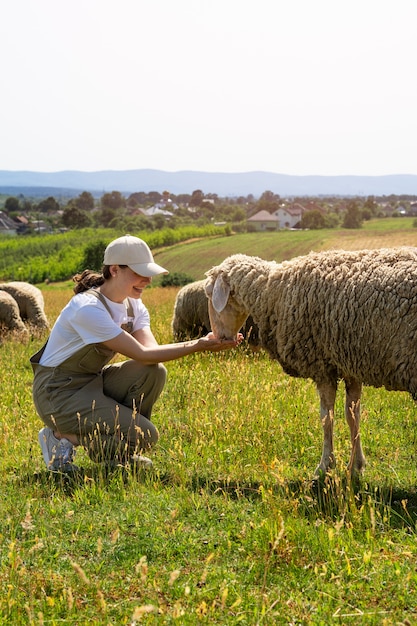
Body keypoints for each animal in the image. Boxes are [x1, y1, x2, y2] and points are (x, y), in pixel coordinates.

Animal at [204, 246, 417, 476]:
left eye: (209, 293)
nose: (218, 337)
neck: (271, 292)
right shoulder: (349, 363)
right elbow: (352, 416)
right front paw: (356, 466)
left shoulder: (321, 365)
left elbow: (326, 417)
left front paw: (325, 465)